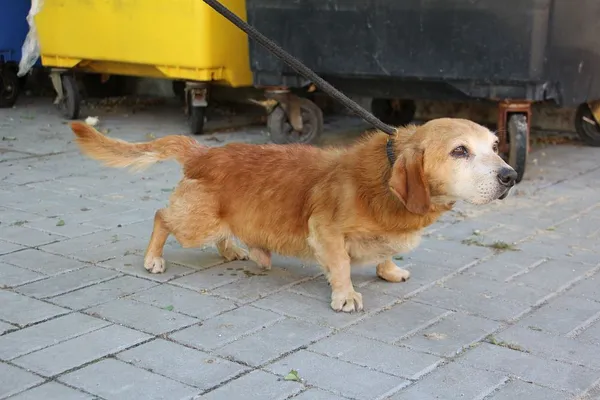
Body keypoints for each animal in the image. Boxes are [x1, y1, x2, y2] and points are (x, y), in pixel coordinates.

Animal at [71, 119, 516, 312]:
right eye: (460, 151)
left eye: (495, 146)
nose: (511, 176)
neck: (383, 181)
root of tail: (204, 154)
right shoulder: (326, 232)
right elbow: (341, 266)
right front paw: (345, 295)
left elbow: (386, 252)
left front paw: (389, 270)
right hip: (196, 223)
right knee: (161, 216)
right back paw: (154, 258)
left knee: (220, 232)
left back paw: (234, 250)